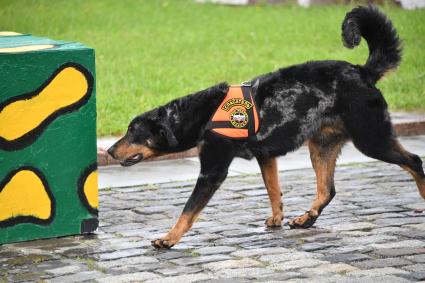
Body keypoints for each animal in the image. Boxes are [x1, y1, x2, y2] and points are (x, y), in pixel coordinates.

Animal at [107, 6, 424, 250]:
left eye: (133, 131)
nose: (109, 151)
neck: (199, 114)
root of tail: (363, 72)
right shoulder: (266, 156)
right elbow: (274, 190)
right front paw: (277, 219)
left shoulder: (212, 171)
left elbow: (188, 211)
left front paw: (169, 238)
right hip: (321, 147)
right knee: (327, 190)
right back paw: (306, 219)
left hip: (372, 139)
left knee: (414, 160)